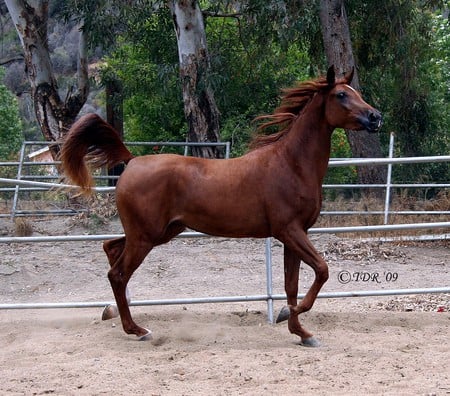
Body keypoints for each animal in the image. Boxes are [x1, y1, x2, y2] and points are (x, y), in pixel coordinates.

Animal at [61, 67, 382, 346]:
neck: (291, 164)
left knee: (111, 249)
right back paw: (138, 330)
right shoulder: (289, 231)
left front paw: (301, 332)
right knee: (117, 273)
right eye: (341, 95)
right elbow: (322, 270)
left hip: (159, 232)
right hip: (145, 237)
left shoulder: (294, 235)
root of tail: (132, 161)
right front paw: (289, 315)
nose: (375, 117)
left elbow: (292, 285)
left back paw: (117, 314)